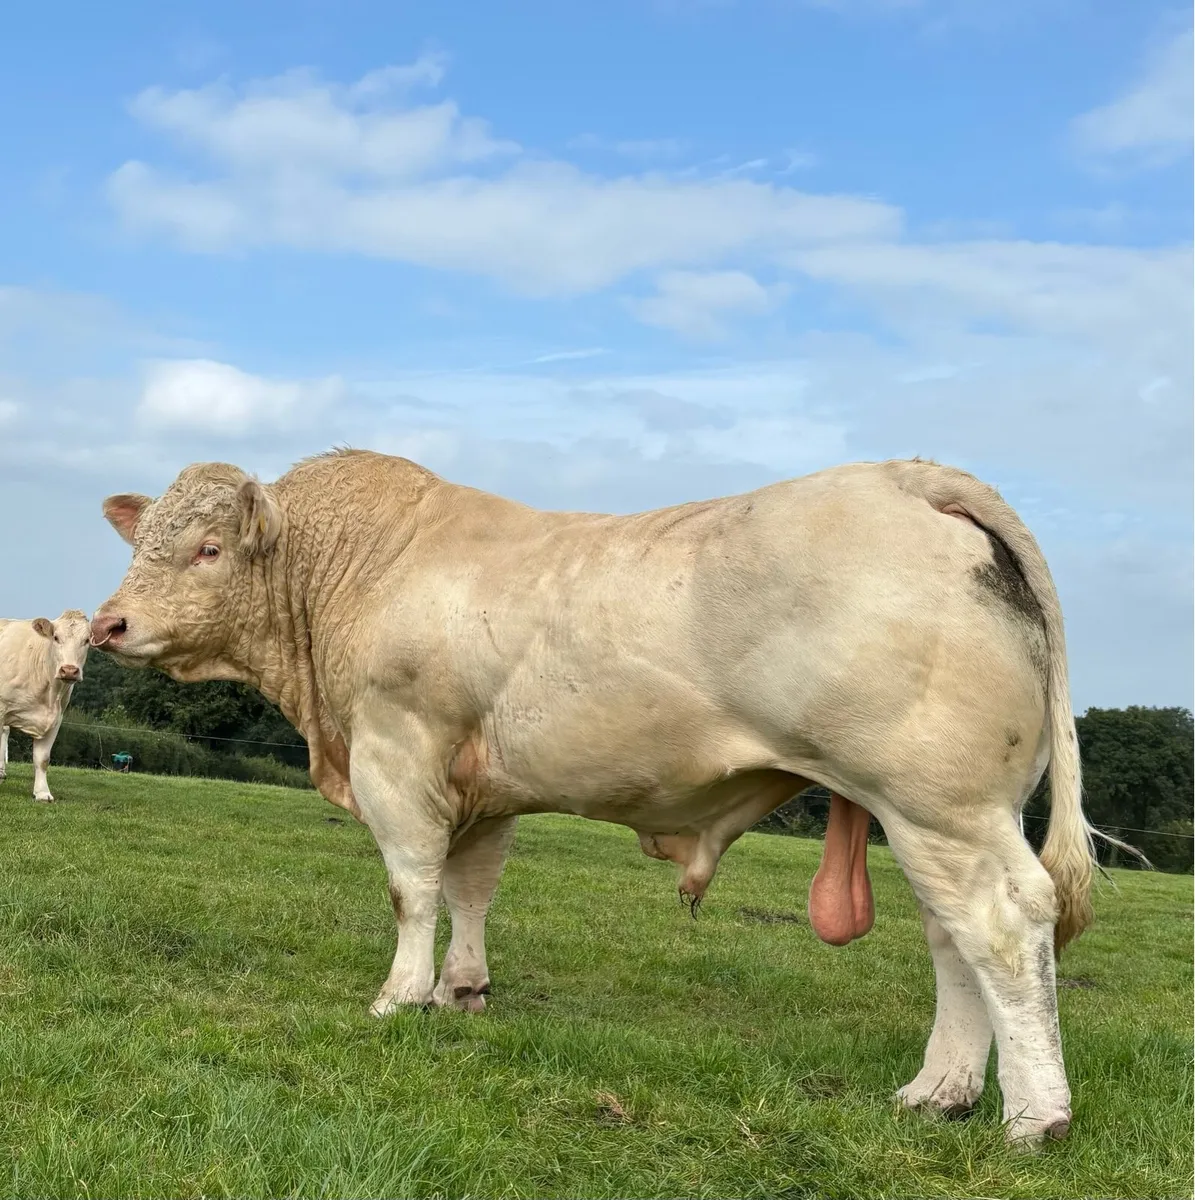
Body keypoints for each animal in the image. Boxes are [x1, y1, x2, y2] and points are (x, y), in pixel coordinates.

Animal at [0, 610, 91, 801]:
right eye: (56, 637)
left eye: (87, 640)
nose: (69, 670)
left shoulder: (56, 719)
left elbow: (42, 759)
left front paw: (42, 792)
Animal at [91, 449, 1099, 1145]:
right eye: (142, 542)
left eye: (208, 547)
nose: (108, 624)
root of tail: (909, 476)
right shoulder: (481, 783)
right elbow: (471, 886)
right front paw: (462, 989)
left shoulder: (396, 749)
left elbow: (412, 885)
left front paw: (399, 995)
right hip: (932, 814)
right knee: (950, 935)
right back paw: (939, 1092)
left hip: (939, 803)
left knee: (1002, 925)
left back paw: (1034, 1117)